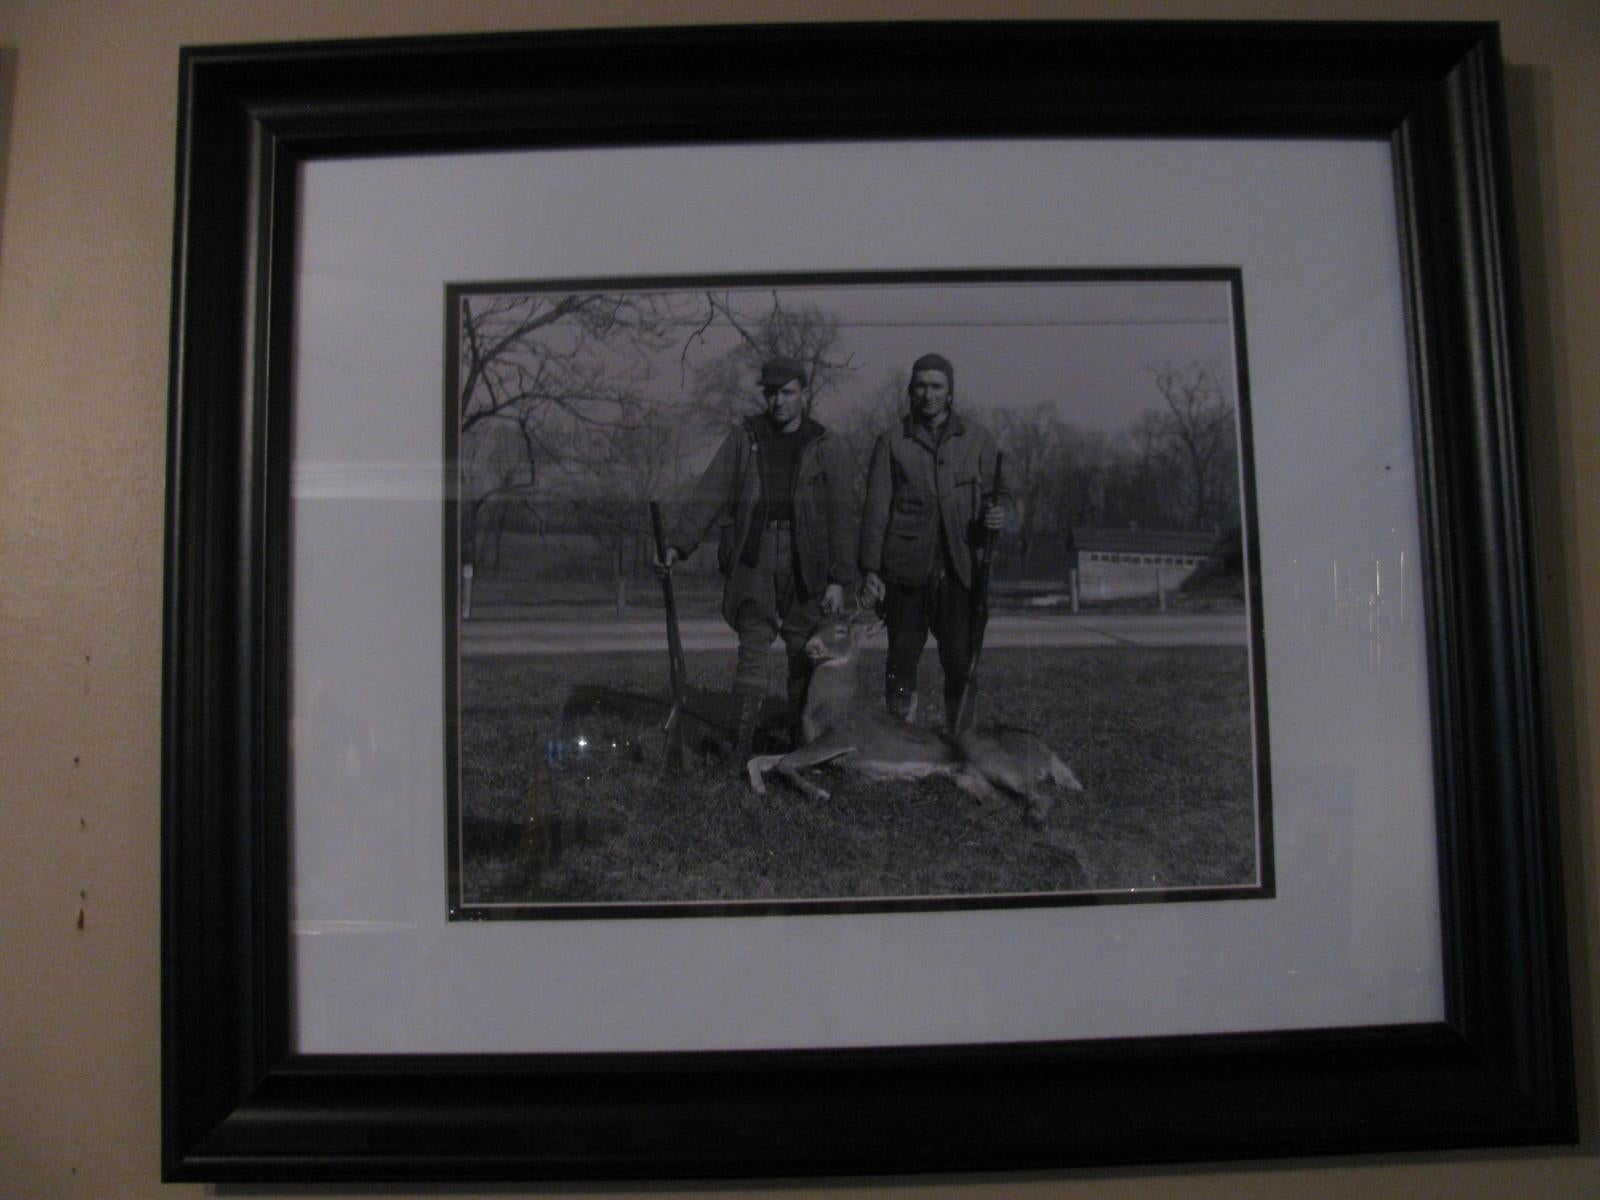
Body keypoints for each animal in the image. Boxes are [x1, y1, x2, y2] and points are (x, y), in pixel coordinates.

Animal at [742, 611, 1081, 825]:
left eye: (841, 631)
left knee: (1043, 795)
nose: (810, 647)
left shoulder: (840, 739)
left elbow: (786, 763)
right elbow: (760, 759)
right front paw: (759, 789)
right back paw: (969, 817)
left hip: (991, 758)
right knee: (997, 799)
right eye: (815, 625)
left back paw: (1035, 818)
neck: (831, 704)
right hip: (964, 774)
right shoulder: (816, 747)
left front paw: (819, 793)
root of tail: (1044, 750)